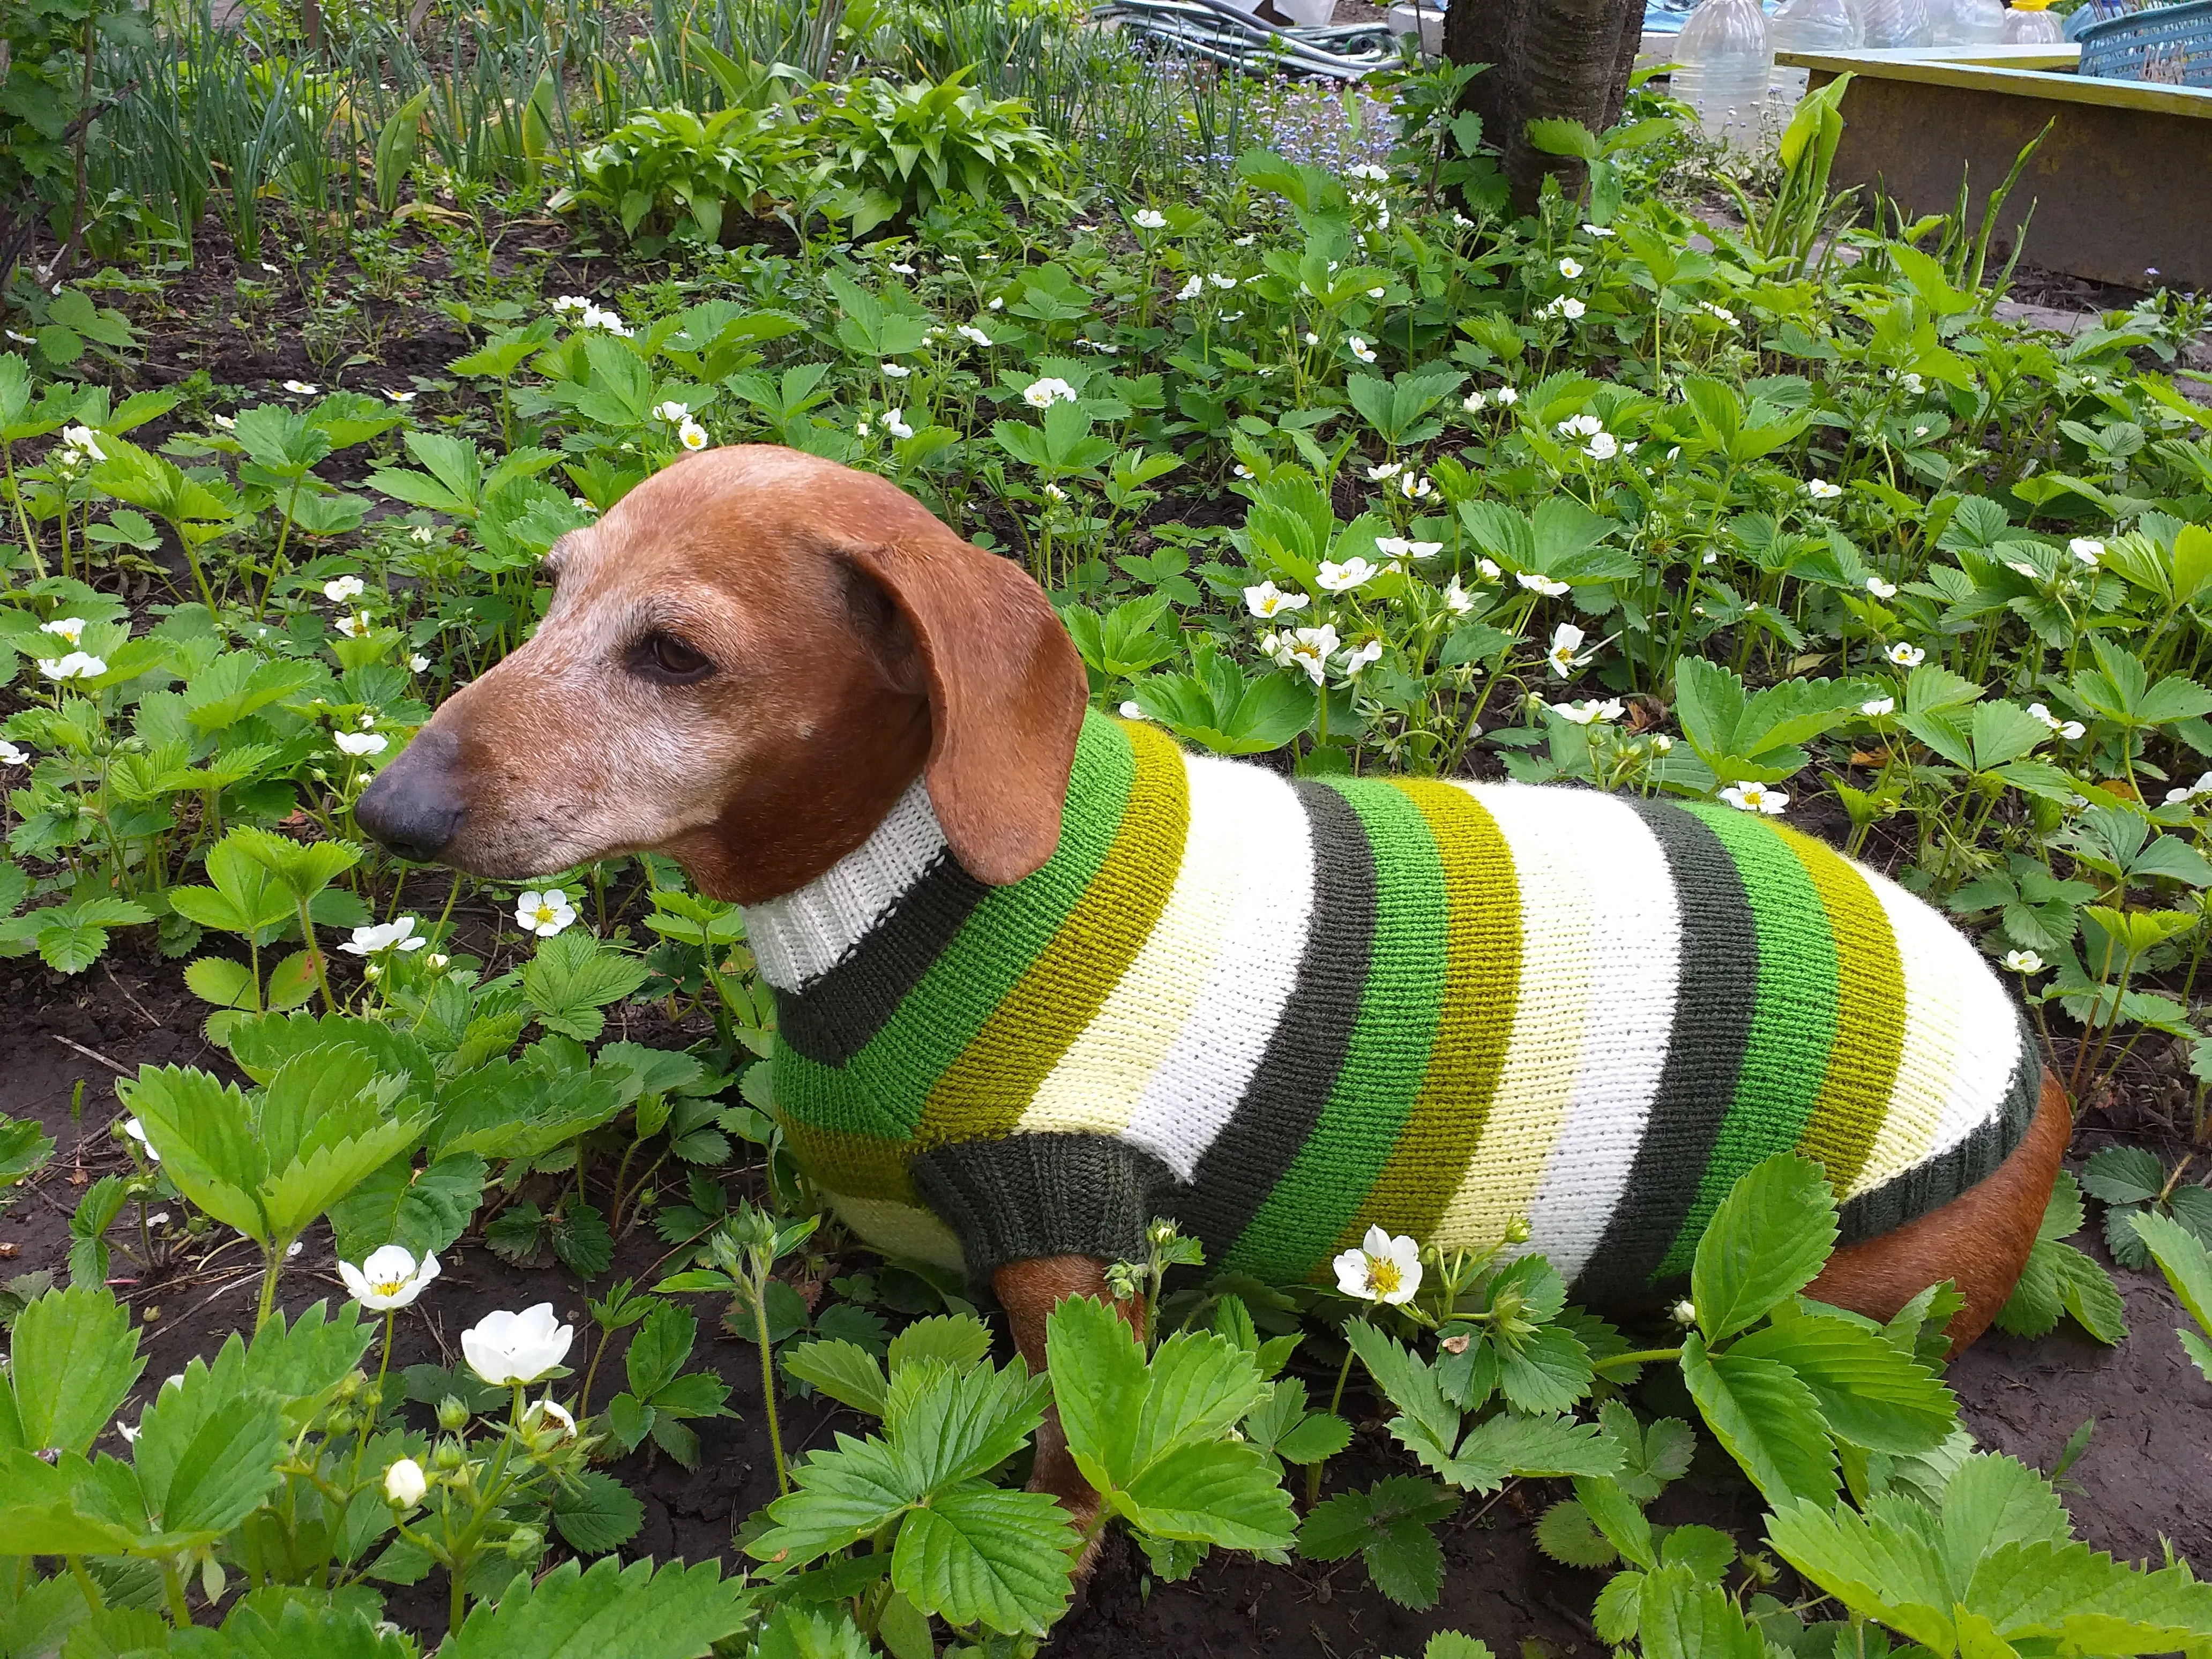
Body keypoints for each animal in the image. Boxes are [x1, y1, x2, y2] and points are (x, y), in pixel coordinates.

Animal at [362, 444, 2070, 1530]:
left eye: (674, 657)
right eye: (553, 590)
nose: (386, 810)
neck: (901, 888)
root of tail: (2036, 1079)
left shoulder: (1081, 1244)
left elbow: (1070, 1462)